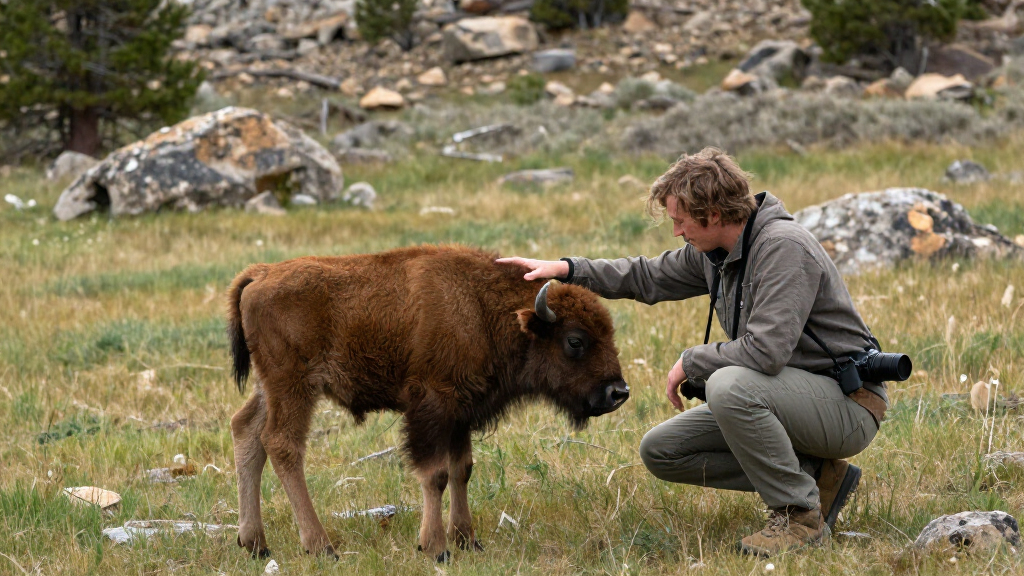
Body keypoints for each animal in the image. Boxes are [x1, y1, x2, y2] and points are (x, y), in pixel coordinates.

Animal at [227, 244, 628, 561]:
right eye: (575, 341)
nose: (617, 392)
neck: (479, 307)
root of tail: (261, 274)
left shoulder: (461, 412)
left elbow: (461, 469)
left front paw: (468, 540)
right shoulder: (432, 406)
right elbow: (435, 475)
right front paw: (436, 548)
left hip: (269, 387)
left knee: (246, 431)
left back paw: (255, 544)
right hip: (294, 385)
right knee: (282, 445)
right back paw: (321, 546)